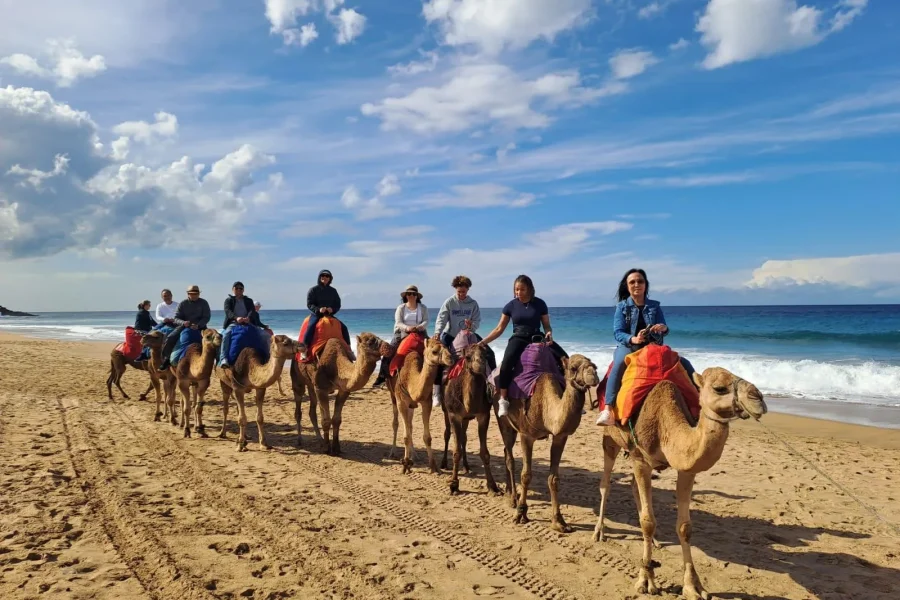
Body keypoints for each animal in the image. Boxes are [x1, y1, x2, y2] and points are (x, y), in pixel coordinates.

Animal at [386, 337, 453, 474]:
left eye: (446, 347)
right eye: (434, 351)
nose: (450, 358)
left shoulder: (426, 402)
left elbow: (427, 437)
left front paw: (434, 466)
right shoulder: (401, 402)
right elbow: (406, 436)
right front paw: (405, 465)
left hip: (411, 406)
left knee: (410, 425)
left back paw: (414, 456)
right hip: (393, 396)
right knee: (396, 423)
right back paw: (393, 453)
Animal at [441, 343, 500, 496]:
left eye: (486, 355)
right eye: (467, 357)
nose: (480, 363)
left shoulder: (484, 415)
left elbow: (484, 453)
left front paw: (493, 486)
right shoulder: (454, 414)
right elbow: (456, 451)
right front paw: (454, 484)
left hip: (466, 419)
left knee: (463, 437)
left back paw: (466, 467)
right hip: (445, 410)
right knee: (447, 433)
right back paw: (443, 463)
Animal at [495, 353, 600, 533]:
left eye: (594, 365)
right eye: (573, 368)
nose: (593, 375)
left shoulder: (560, 436)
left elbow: (554, 478)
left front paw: (559, 521)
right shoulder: (526, 435)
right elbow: (526, 475)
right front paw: (521, 514)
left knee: (505, 452)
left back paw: (510, 493)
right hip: (503, 421)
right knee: (509, 458)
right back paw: (513, 500)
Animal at [592, 367, 767, 600]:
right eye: (719, 388)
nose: (758, 398)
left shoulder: (686, 469)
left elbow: (685, 527)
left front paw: (693, 586)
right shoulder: (640, 459)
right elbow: (648, 521)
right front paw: (646, 580)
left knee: (633, 487)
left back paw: (654, 541)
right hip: (610, 440)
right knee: (606, 483)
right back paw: (599, 532)